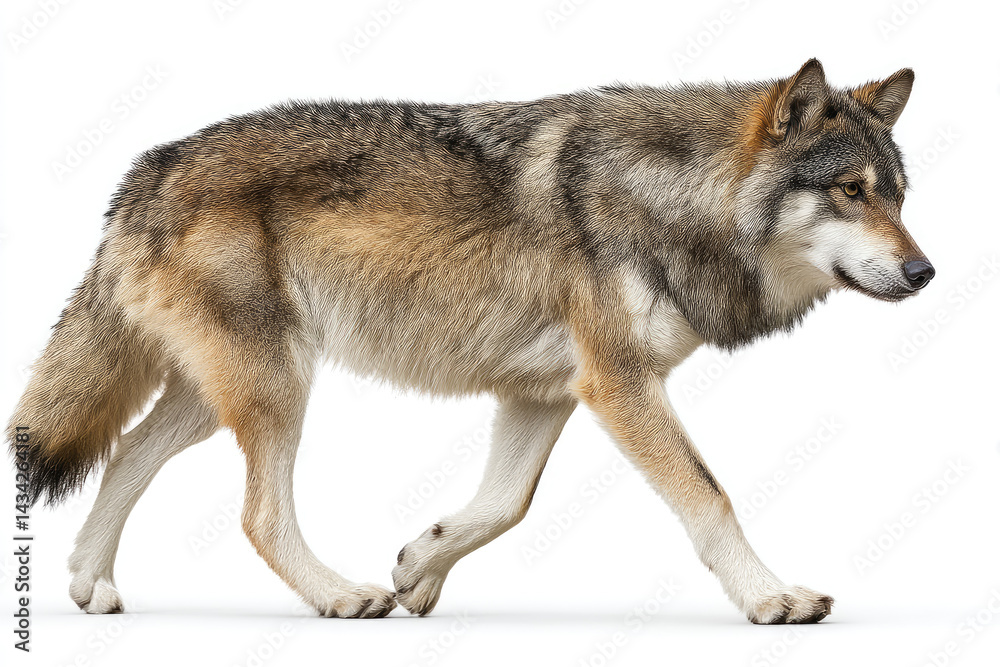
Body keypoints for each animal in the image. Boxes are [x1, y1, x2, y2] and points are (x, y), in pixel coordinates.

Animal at [7, 59, 933, 622]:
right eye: (851, 191)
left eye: (899, 195)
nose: (925, 272)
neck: (673, 197)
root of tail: (144, 170)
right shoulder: (619, 384)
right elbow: (710, 497)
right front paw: (771, 598)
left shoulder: (545, 393)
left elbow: (505, 503)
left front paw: (420, 565)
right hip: (276, 388)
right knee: (258, 514)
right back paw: (339, 596)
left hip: (216, 395)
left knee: (126, 452)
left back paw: (92, 582)